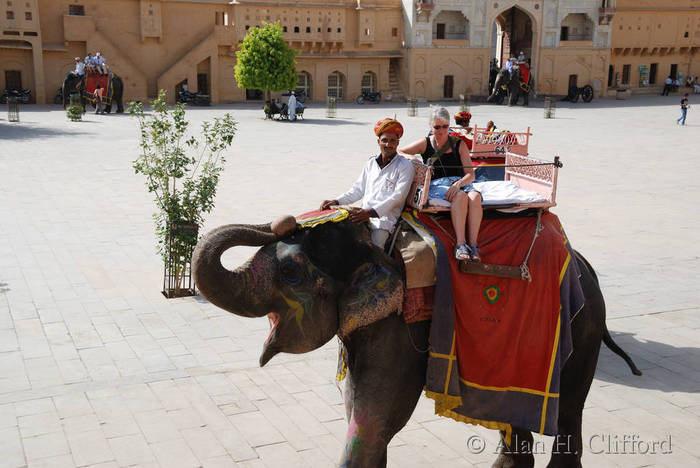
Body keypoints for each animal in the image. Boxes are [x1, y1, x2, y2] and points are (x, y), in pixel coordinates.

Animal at [191, 217, 640, 468]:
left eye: (290, 272)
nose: (284, 221)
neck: (371, 249)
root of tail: (586, 267)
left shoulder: (400, 331)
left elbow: (373, 420)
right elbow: (360, 412)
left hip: (581, 334)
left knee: (567, 411)